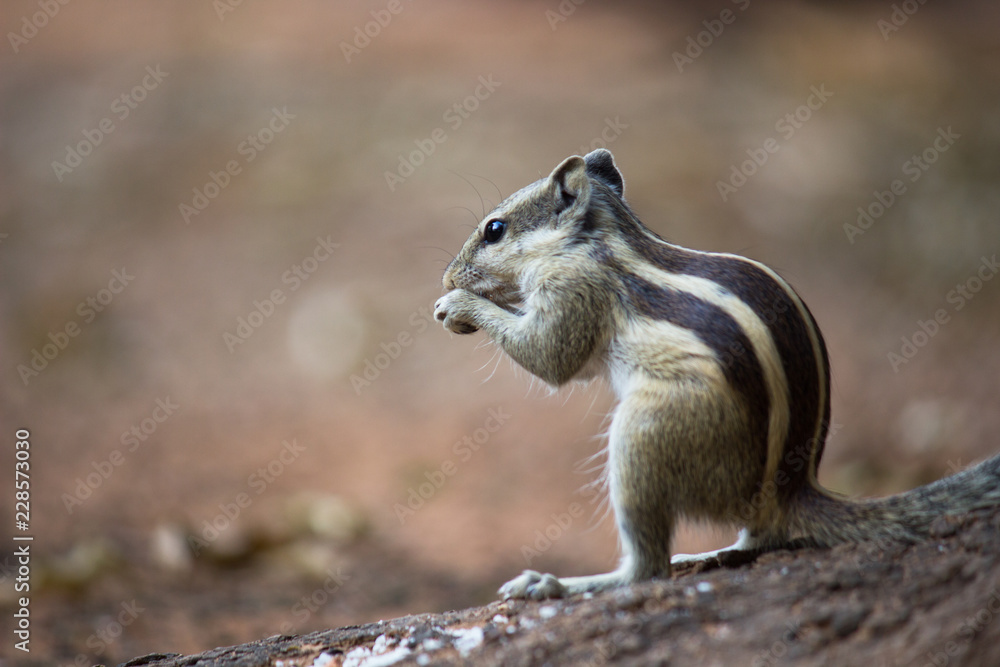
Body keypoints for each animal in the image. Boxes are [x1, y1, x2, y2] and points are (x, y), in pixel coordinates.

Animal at [433, 148, 1000, 600]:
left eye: (495, 230)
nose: (447, 276)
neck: (599, 240)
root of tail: (790, 491)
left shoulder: (575, 289)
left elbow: (551, 358)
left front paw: (457, 305)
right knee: (756, 541)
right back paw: (705, 556)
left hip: (646, 435)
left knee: (649, 569)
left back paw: (559, 584)